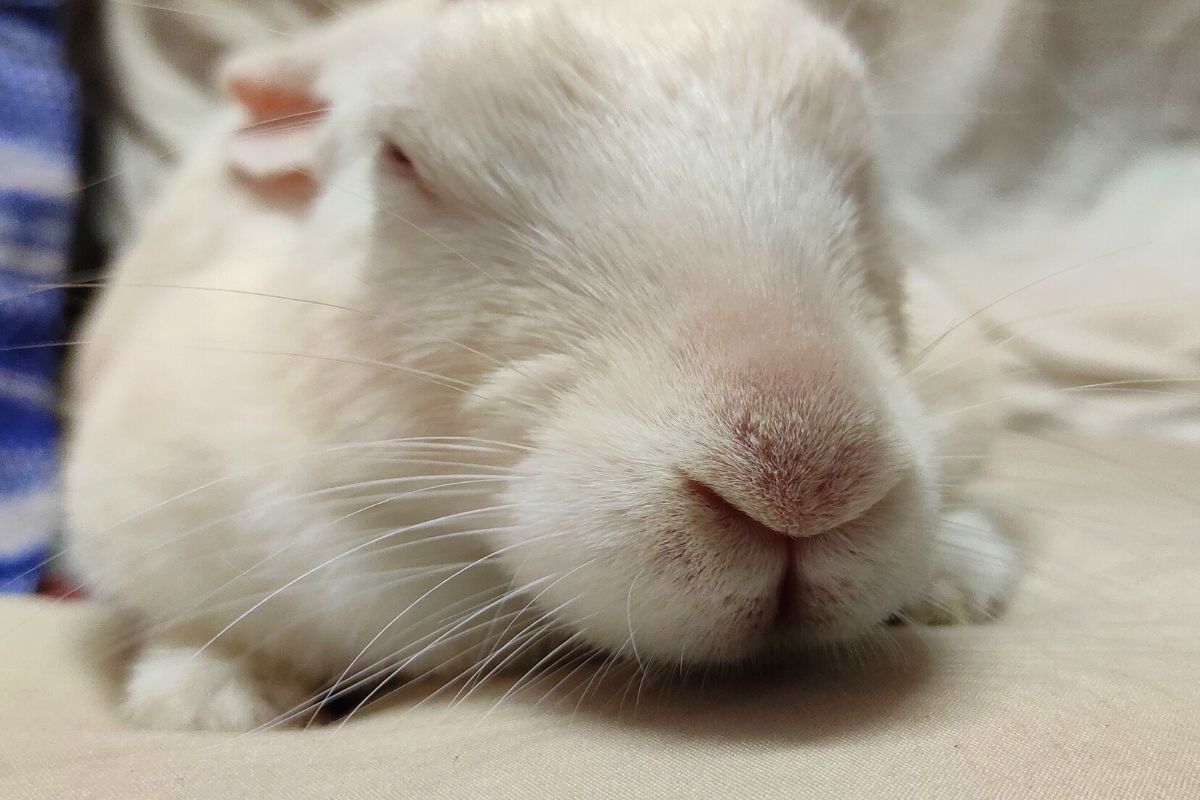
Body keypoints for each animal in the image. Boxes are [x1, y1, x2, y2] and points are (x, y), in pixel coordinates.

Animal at [63, 0, 1019, 731]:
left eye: (864, 168)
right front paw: (207, 703)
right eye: (401, 158)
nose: (810, 481)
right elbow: (203, 626)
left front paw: (965, 581)